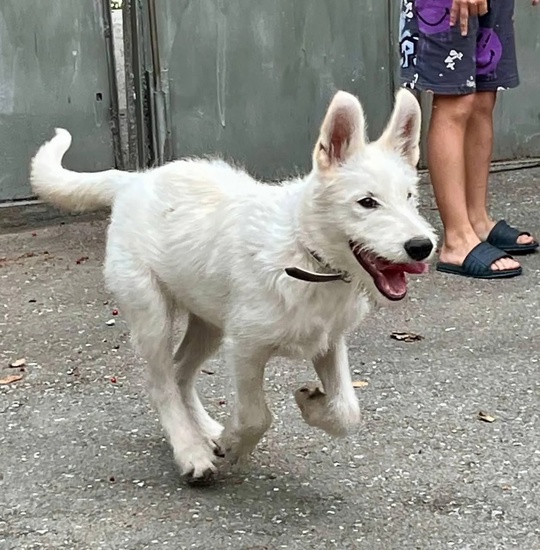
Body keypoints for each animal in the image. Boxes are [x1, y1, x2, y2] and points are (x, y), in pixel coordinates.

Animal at [29, 89, 436, 484]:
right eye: (366, 202)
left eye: (410, 197)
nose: (422, 246)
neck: (304, 253)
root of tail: (134, 179)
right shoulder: (245, 348)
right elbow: (257, 414)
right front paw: (235, 443)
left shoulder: (328, 342)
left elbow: (349, 410)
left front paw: (311, 405)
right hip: (152, 314)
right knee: (162, 383)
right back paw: (191, 450)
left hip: (209, 322)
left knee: (180, 373)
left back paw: (206, 430)